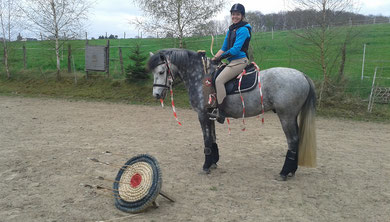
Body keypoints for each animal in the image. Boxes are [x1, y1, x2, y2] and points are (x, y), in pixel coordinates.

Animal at [148, 48, 316, 180]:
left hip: (286, 116)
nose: (156, 94)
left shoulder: (202, 114)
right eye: (153, 73)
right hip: (292, 116)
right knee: (297, 139)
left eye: (161, 71)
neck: (200, 77)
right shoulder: (210, 115)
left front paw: (206, 165)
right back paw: (292, 171)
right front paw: (213, 162)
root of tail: (302, 75)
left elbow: (207, 139)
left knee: (293, 140)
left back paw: (284, 172)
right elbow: (213, 138)